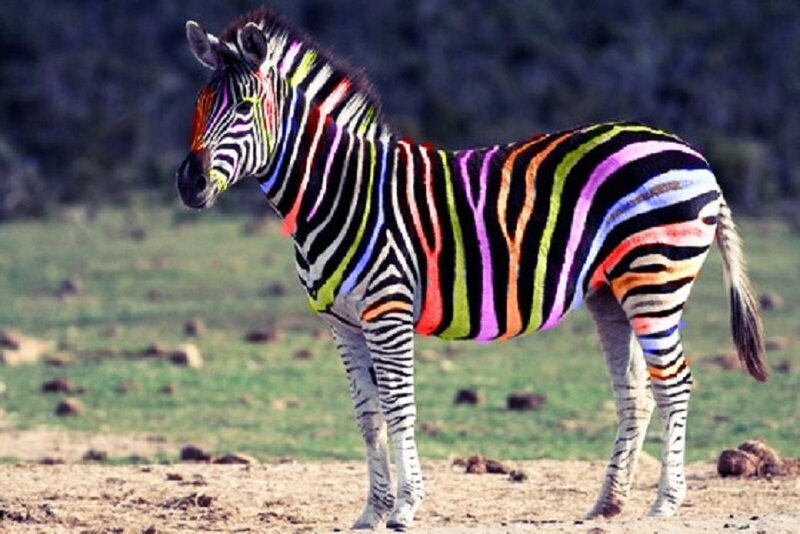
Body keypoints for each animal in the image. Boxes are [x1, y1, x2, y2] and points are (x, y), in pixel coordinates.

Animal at [176, 7, 767, 529]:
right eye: (200, 105)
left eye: (246, 106)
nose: (189, 183)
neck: (340, 190)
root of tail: (693, 153)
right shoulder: (341, 322)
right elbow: (368, 415)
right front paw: (371, 512)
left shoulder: (387, 308)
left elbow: (398, 407)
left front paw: (405, 508)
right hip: (611, 292)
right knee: (636, 394)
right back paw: (606, 505)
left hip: (656, 280)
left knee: (675, 383)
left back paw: (665, 502)